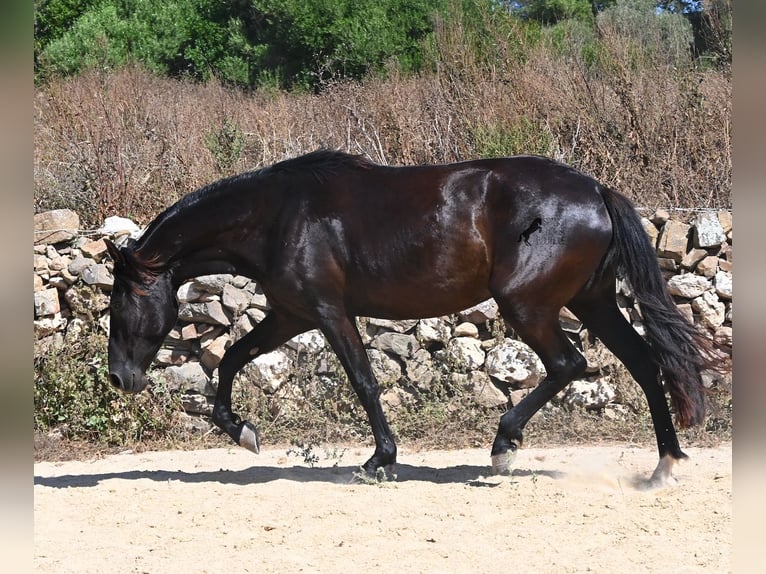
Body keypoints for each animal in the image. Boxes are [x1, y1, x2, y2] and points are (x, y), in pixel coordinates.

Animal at [104, 149, 722, 486]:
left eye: (121, 302)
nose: (119, 377)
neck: (277, 216)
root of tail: (596, 190)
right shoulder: (290, 314)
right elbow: (231, 358)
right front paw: (242, 432)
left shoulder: (327, 311)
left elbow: (363, 380)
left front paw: (381, 459)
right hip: (592, 301)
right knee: (644, 364)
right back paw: (664, 465)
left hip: (528, 306)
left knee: (570, 364)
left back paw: (503, 445)